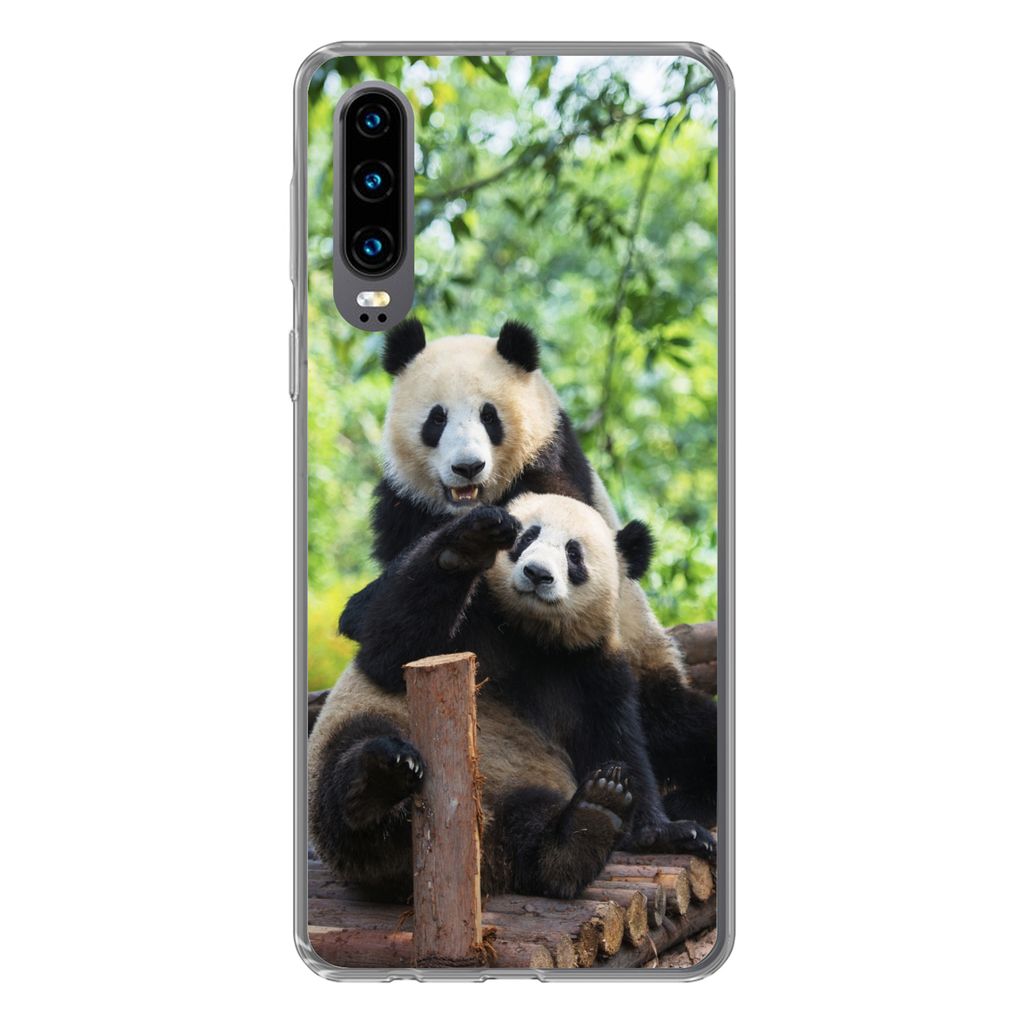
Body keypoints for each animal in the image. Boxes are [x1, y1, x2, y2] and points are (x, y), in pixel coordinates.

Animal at [308, 493, 715, 900]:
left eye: (573, 554)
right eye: (526, 537)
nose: (536, 573)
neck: (528, 633)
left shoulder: (591, 668)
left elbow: (616, 740)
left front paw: (664, 830)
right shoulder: (470, 622)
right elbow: (390, 650)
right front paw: (469, 544)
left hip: (522, 788)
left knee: (530, 828)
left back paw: (587, 826)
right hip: (365, 731)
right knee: (350, 763)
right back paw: (380, 779)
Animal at [339, 318, 716, 826]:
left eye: (489, 416)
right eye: (436, 419)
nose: (468, 467)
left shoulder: (552, 469)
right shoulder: (403, 504)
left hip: (648, 666)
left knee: (687, 727)